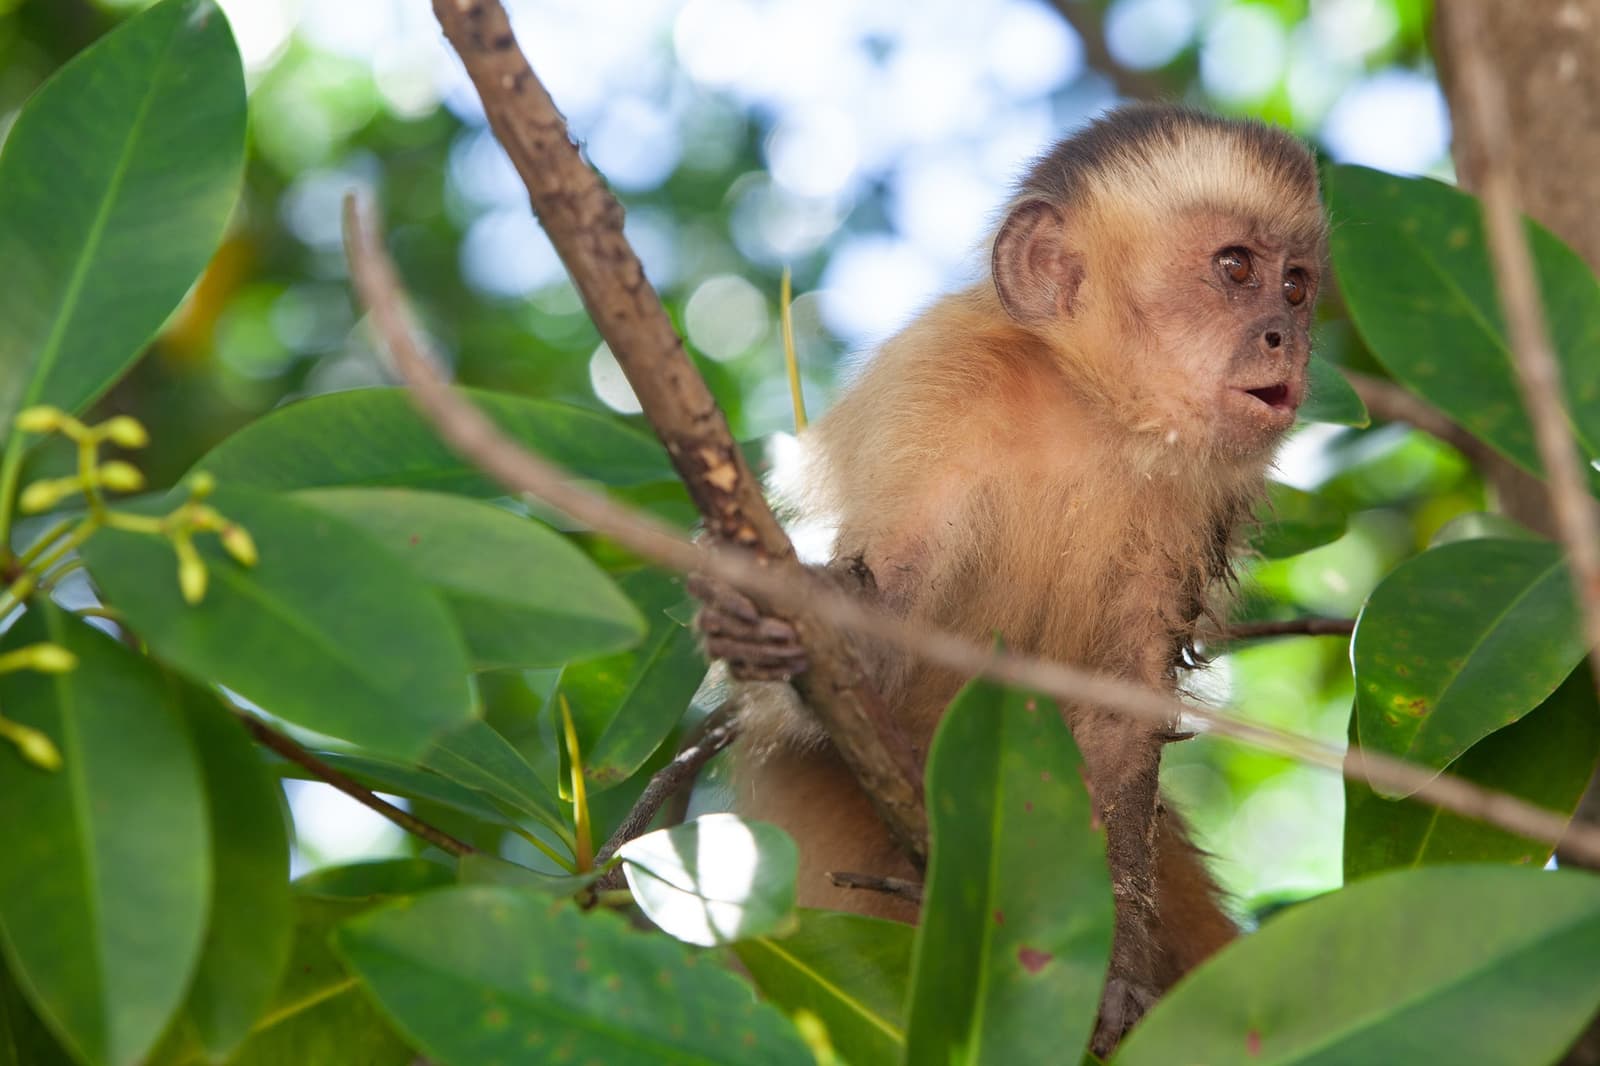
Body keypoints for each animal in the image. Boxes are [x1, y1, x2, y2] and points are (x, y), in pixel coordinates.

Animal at [695, 104, 1325, 1053]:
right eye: (1235, 268)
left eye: (1295, 285)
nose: (1286, 337)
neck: (1085, 407)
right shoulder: (941, 394)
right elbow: (884, 628)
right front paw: (794, 621)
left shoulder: (1199, 496)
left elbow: (1119, 723)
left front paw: (1117, 977)